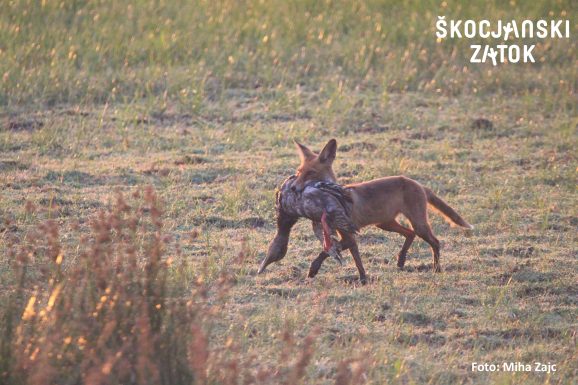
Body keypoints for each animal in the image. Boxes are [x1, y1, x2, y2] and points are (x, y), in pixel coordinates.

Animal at [290, 138, 470, 280]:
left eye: (310, 173)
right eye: (299, 172)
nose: (292, 187)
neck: (332, 193)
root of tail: (418, 184)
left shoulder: (348, 236)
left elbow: (326, 252)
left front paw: (313, 269)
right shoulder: (349, 237)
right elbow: (357, 261)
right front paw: (363, 279)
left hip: (418, 224)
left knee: (434, 241)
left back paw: (436, 268)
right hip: (385, 224)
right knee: (410, 234)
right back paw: (401, 260)